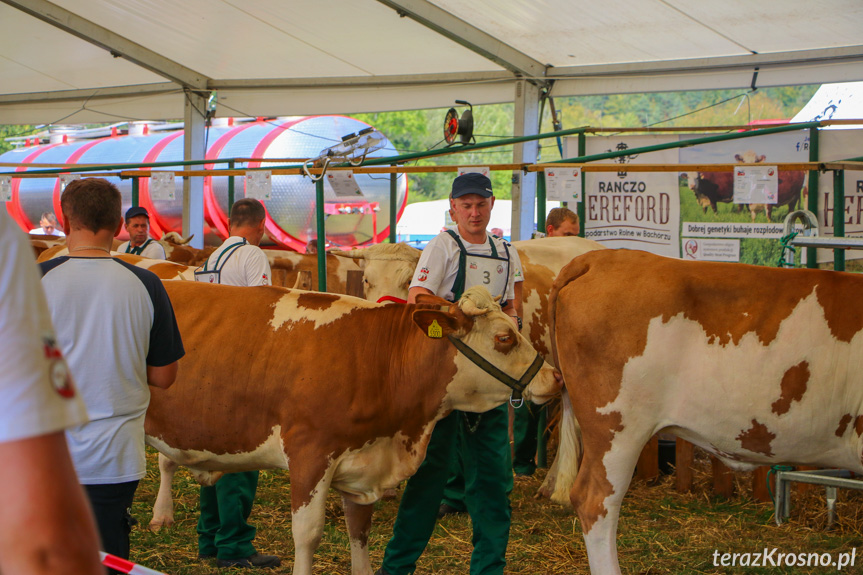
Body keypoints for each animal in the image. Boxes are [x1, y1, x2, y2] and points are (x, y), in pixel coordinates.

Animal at [145, 284, 564, 575]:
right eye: (504, 338)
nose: (555, 377)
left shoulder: (365, 465)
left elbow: (359, 531)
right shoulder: (310, 454)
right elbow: (308, 533)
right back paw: (160, 515)